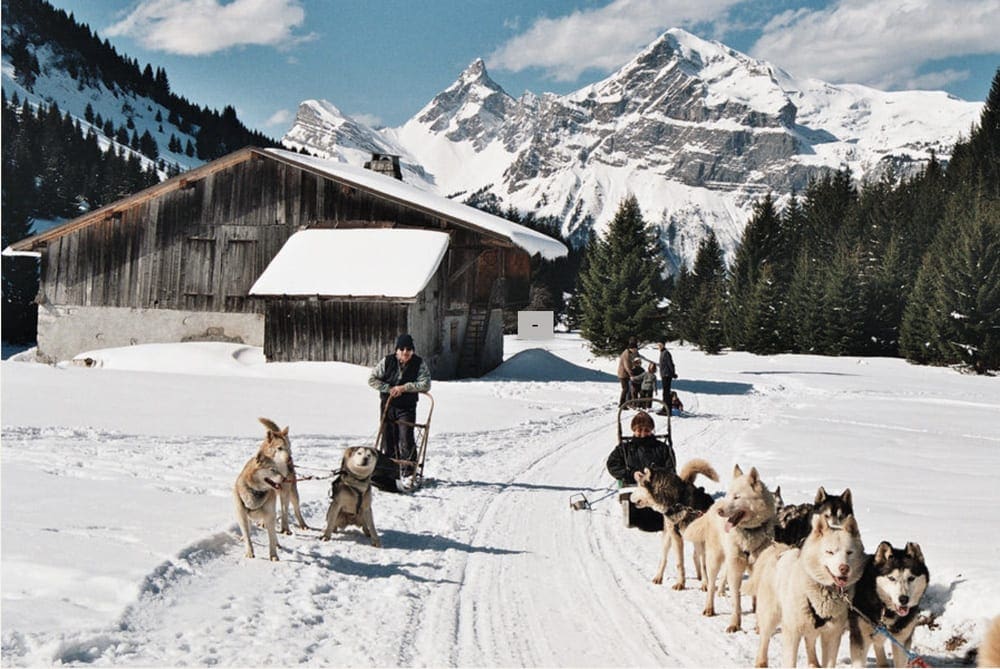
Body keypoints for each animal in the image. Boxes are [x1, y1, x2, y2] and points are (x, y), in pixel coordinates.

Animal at [632, 456, 720, 588]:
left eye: (639, 485)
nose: (630, 496)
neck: (679, 501)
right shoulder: (676, 537)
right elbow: (679, 563)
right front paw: (680, 584)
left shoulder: (700, 540)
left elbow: (704, 564)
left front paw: (705, 584)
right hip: (668, 538)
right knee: (663, 559)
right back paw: (658, 577)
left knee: (696, 557)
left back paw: (700, 577)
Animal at [684, 464, 776, 632]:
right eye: (729, 495)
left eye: (737, 497)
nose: (720, 512)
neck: (749, 532)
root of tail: (712, 507)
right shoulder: (736, 568)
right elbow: (736, 600)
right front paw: (735, 623)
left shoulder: (756, 567)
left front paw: (758, 622)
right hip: (715, 560)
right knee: (711, 584)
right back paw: (709, 607)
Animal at [752, 512, 864, 664]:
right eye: (830, 552)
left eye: (849, 552)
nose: (844, 568)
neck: (824, 591)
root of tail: (780, 551)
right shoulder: (792, 633)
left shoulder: (832, 636)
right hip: (770, 617)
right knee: (764, 641)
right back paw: (761, 662)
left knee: (810, 642)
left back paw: (814, 663)